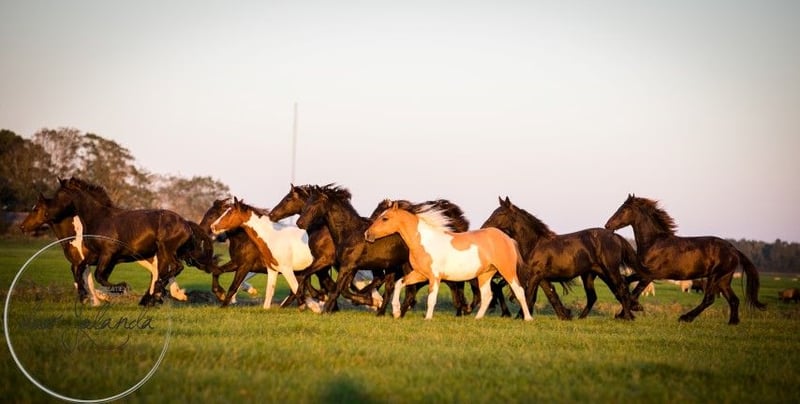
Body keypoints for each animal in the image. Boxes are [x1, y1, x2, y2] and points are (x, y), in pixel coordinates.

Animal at [47, 178, 201, 306]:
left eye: (59, 196)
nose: (48, 215)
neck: (99, 219)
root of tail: (185, 224)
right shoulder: (98, 256)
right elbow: (79, 268)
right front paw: (84, 296)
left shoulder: (108, 254)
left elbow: (98, 275)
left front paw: (122, 288)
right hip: (161, 254)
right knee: (162, 272)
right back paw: (153, 297)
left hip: (166, 250)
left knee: (176, 267)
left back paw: (157, 293)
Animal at [365, 201, 533, 320]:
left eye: (385, 218)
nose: (367, 234)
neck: (425, 241)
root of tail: (507, 238)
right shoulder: (420, 274)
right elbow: (400, 284)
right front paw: (396, 312)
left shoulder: (434, 277)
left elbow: (431, 299)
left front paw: (427, 318)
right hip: (485, 274)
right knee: (487, 296)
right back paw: (477, 318)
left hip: (507, 271)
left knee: (519, 291)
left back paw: (528, 318)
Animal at [482, 197, 638, 320]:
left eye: (500, 213)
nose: (484, 227)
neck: (535, 244)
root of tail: (616, 236)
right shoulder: (542, 278)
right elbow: (550, 295)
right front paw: (564, 315)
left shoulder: (535, 275)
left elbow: (528, 296)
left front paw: (522, 317)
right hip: (594, 274)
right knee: (598, 295)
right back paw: (582, 318)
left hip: (610, 271)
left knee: (621, 289)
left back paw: (627, 317)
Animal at [604, 194, 767, 324]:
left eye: (623, 210)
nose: (607, 225)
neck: (654, 242)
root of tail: (733, 249)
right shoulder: (642, 272)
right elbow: (627, 281)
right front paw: (625, 311)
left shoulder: (649, 275)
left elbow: (634, 292)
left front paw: (630, 310)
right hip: (724, 279)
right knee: (733, 300)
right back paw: (732, 322)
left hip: (715, 277)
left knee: (709, 299)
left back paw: (685, 318)